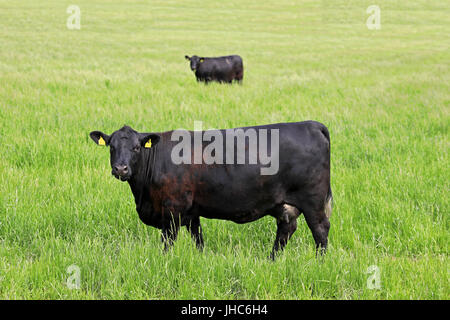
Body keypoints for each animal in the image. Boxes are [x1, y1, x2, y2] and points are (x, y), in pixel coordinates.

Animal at [89, 121, 332, 258]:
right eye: (111, 147)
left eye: (136, 147)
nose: (121, 168)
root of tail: (311, 124)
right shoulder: (191, 212)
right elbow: (198, 239)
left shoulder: (172, 211)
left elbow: (168, 243)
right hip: (285, 205)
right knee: (286, 230)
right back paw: (272, 259)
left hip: (313, 201)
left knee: (320, 231)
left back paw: (319, 262)